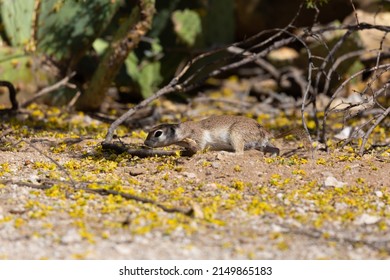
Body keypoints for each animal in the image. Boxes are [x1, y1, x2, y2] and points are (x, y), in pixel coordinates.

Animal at [143, 116, 284, 155]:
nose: (145, 143)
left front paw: (193, 148)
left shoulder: (198, 135)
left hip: (236, 134)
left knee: (239, 152)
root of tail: (266, 132)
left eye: (158, 133)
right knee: (276, 148)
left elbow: (199, 147)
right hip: (262, 144)